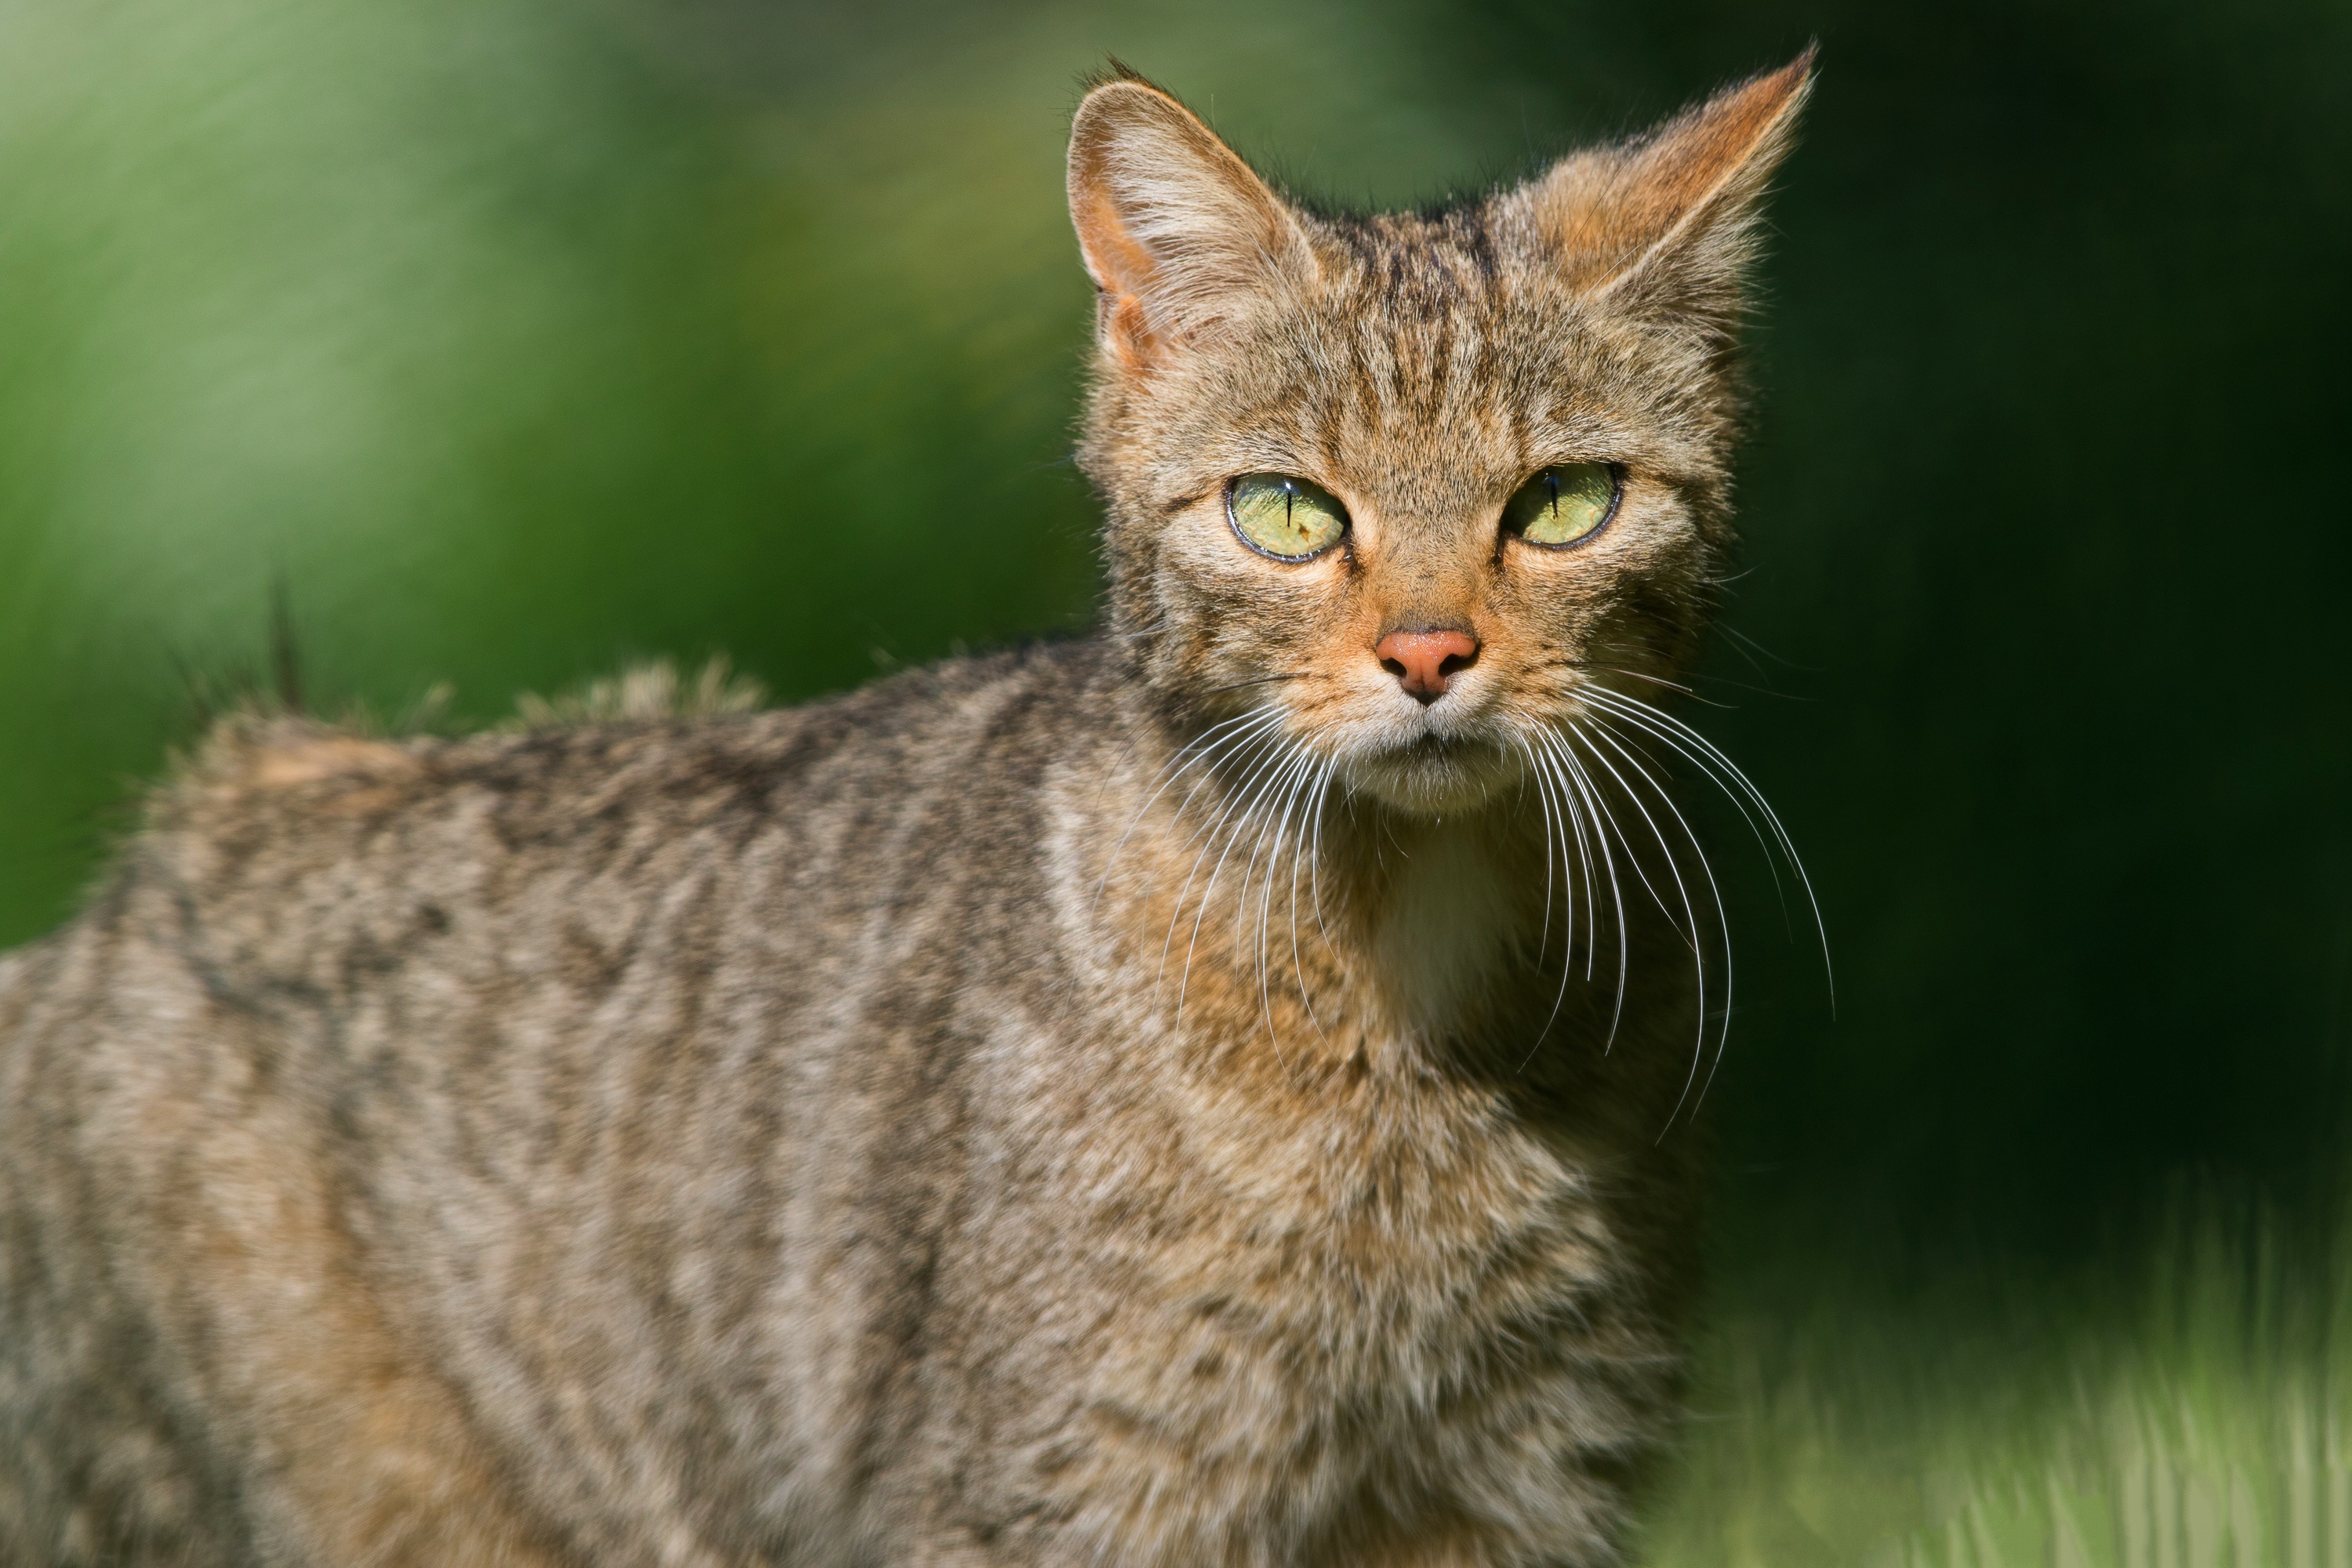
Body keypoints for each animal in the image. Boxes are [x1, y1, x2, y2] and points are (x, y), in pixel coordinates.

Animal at [0, 52, 1816, 1568]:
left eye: (1562, 504)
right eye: (1288, 514)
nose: (1431, 653)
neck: (1413, 1010)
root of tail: (180, 832)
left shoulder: (1515, 1486)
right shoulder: (1058, 1499)